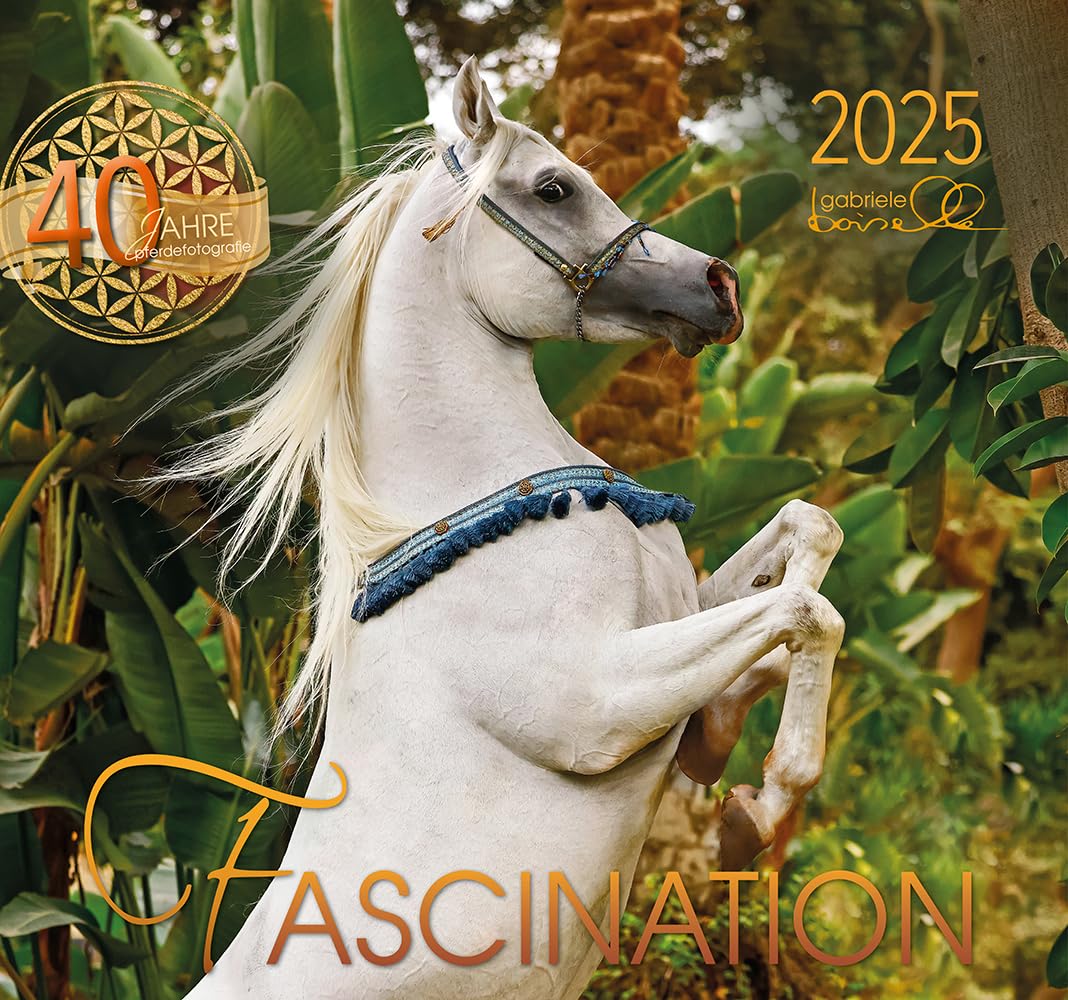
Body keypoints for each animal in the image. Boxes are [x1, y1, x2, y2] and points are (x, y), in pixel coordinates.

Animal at [173, 56, 845, 1000]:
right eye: (554, 188)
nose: (720, 287)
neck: (492, 506)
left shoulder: (680, 612)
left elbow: (806, 536)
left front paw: (720, 754)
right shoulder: (594, 701)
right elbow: (807, 613)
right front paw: (764, 811)